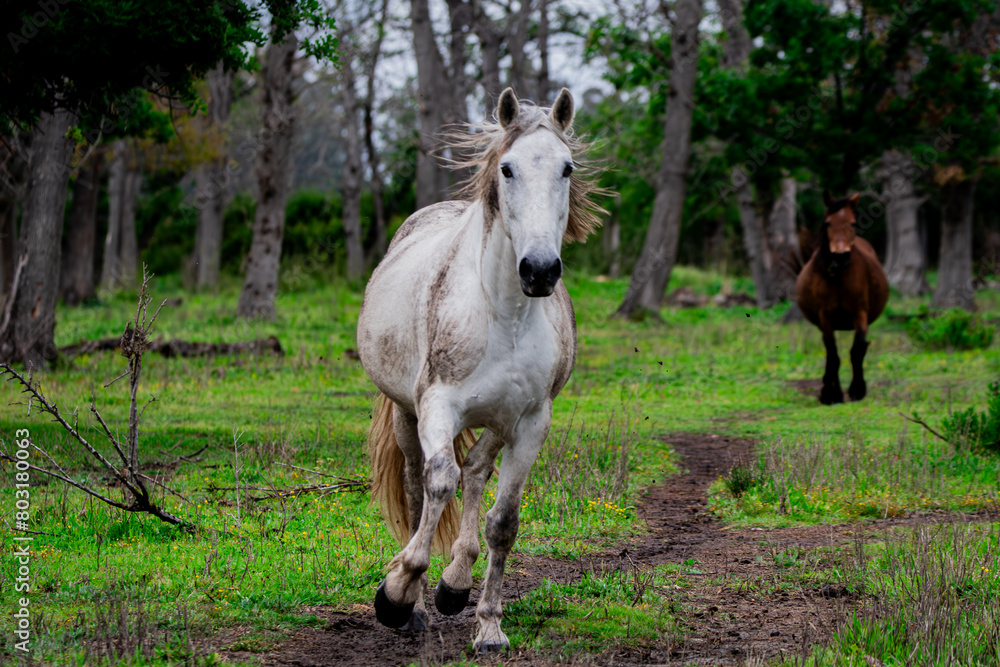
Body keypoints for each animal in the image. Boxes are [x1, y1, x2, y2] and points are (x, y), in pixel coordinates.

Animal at [356, 87, 603, 651]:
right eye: (507, 169)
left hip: (496, 421)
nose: (540, 270)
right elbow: (439, 483)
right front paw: (396, 593)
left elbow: (503, 520)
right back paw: (417, 604)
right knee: (419, 484)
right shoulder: (437, 405)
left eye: (567, 168)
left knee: (475, 472)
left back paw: (453, 585)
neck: (504, 313)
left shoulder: (531, 421)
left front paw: (488, 624)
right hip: (407, 414)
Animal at [795, 192, 888, 405]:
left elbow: (857, 351)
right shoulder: (825, 318)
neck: (838, 279)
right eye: (828, 223)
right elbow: (833, 355)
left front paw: (857, 390)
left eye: (852, 223)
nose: (840, 256)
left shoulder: (860, 314)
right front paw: (832, 394)